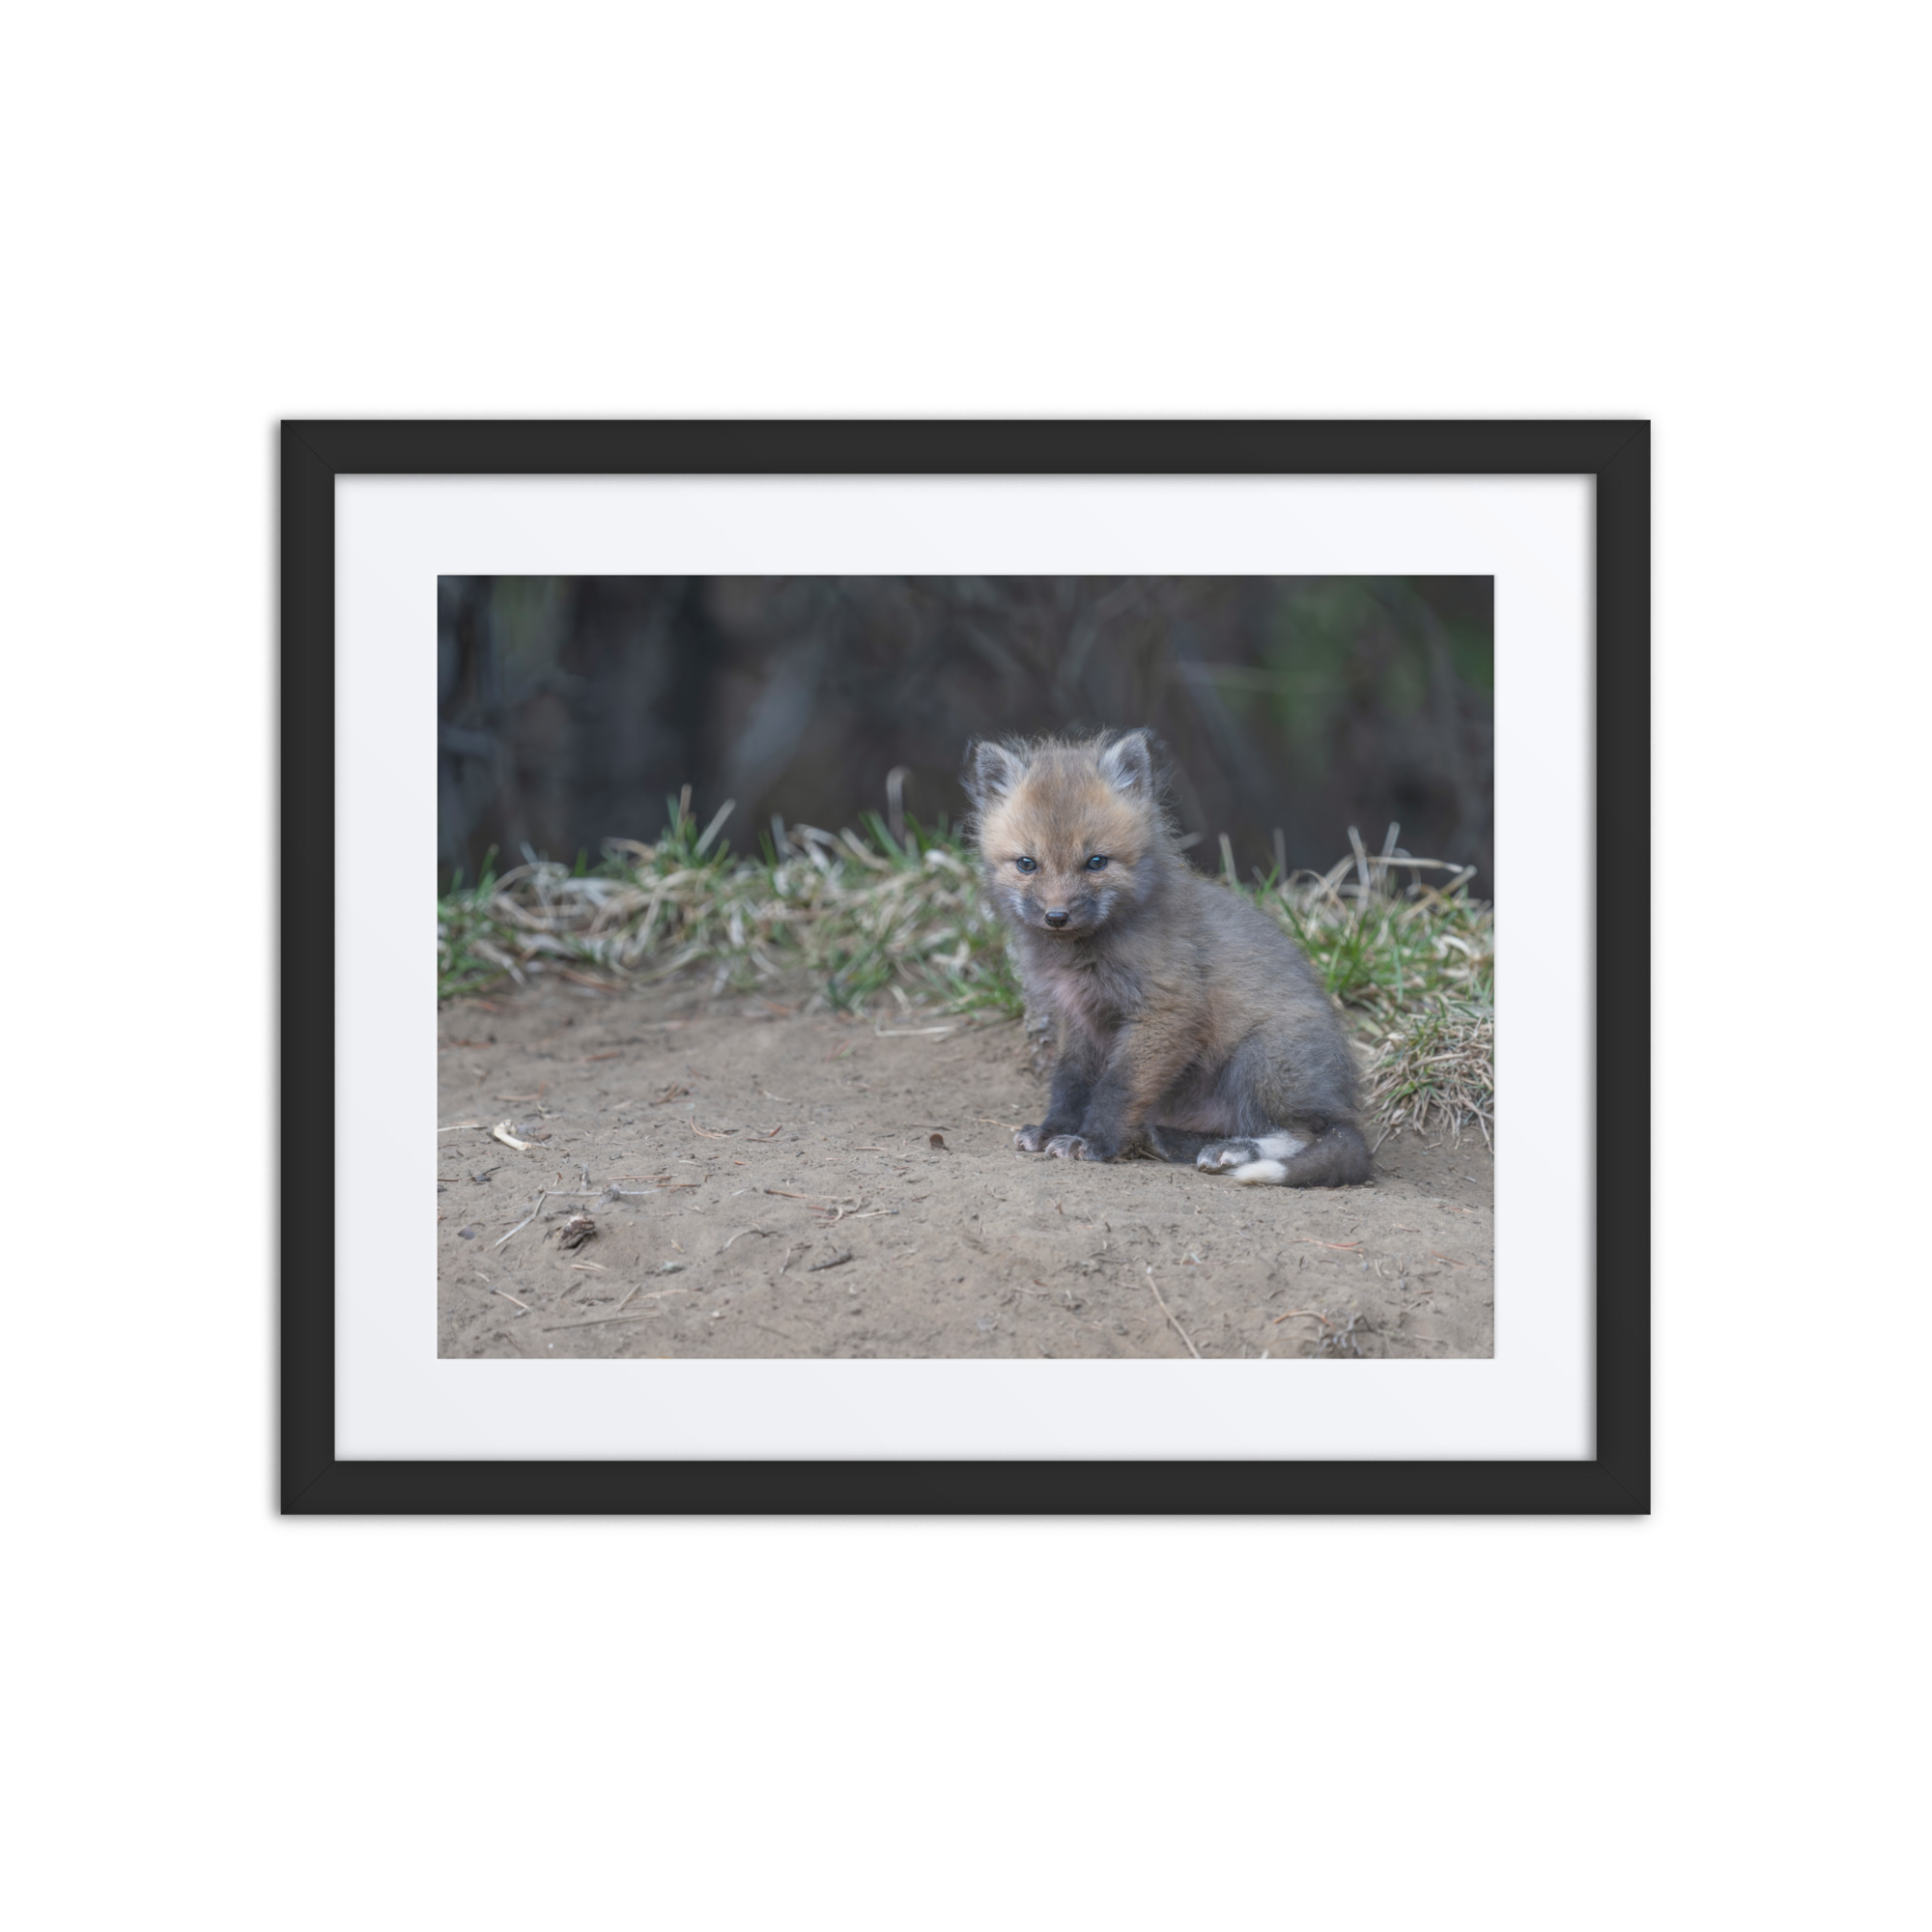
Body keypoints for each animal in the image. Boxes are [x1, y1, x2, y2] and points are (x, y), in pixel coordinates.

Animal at [964, 729, 1372, 1187]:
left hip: (1261, 1059)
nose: (1056, 916)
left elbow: (1117, 1087)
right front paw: (1054, 1129)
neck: (1082, 955)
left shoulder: (1166, 1011)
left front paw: (1093, 1142)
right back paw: (1171, 1140)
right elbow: (1070, 1082)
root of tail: (1343, 1101)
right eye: (1027, 864)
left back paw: (1234, 1151)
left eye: (1096, 862)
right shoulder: (1079, 1019)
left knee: (1310, 1133)